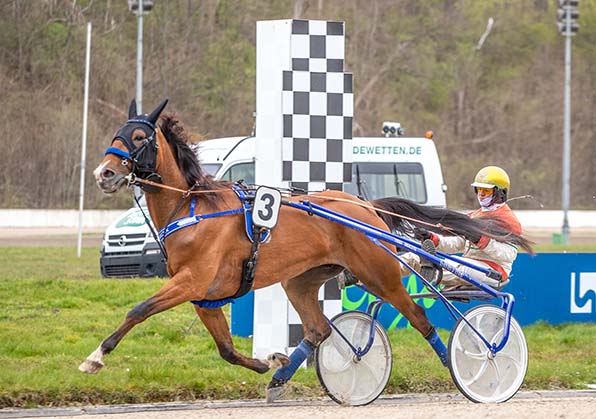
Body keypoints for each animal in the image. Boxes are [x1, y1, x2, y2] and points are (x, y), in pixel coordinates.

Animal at [82, 100, 532, 402]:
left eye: (139, 137)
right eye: (116, 132)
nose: (103, 172)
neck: (193, 207)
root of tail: (366, 206)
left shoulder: (190, 281)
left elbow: (138, 310)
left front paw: (95, 358)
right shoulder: (204, 296)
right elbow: (226, 350)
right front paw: (268, 363)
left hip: (380, 274)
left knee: (421, 319)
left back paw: (471, 366)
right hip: (301, 280)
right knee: (319, 330)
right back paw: (288, 378)